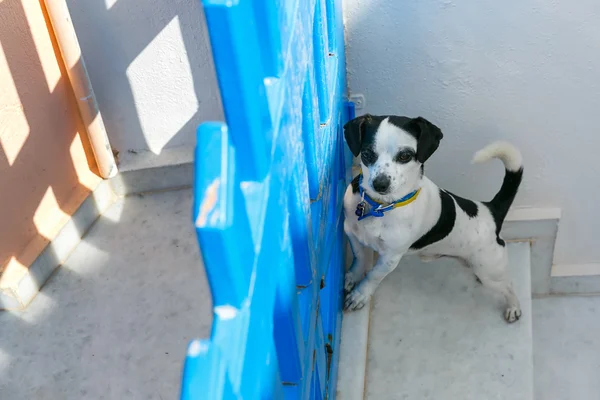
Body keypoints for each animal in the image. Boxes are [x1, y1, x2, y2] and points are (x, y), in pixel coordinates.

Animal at [344, 113, 524, 322]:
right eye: (366, 154)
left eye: (405, 156)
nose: (380, 184)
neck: (381, 206)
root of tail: (491, 209)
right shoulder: (350, 232)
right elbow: (359, 256)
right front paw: (353, 276)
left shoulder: (390, 258)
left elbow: (373, 276)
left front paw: (360, 294)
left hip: (489, 271)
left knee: (508, 286)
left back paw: (513, 307)